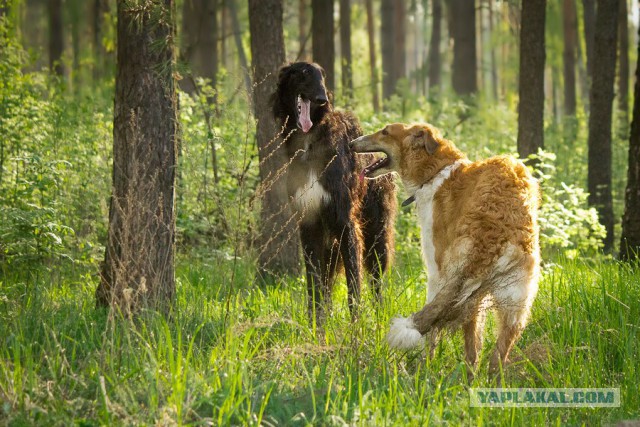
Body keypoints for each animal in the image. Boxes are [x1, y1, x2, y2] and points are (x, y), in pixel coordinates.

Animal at [272, 61, 396, 330]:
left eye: (322, 75)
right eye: (303, 72)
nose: (322, 99)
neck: (309, 142)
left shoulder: (345, 221)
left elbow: (354, 286)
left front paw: (356, 329)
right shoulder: (309, 224)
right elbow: (315, 286)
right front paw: (315, 328)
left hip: (376, 232)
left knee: (377, 281)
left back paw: (380, 319)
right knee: (328, 283)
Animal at [350, 122, 540, 372]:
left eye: (385, 132)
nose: (352, 143)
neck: (436, 171)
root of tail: (492, 233)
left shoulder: (435, 267)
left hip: (456, 285)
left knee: (442, 338)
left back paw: (425, 371)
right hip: (509, 305)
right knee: (489, 357)